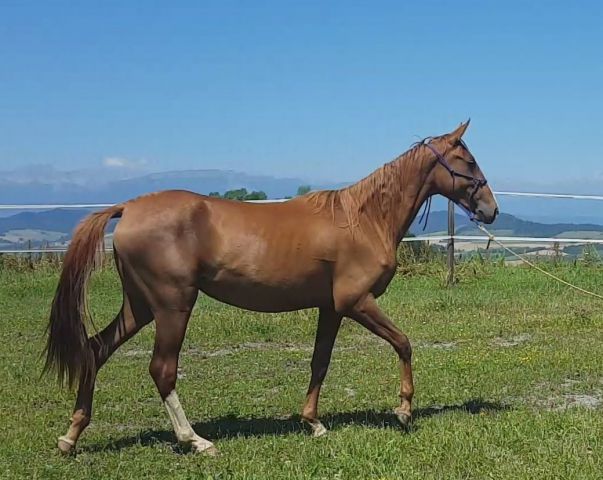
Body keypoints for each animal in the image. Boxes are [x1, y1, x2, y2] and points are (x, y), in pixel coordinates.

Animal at [43, 120, 500, 454]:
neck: (364, 219)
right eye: (468, 161)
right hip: (173, 307)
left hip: (140, 306)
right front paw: (404, 410)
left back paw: (70, 436)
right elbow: (404, 343)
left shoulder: (331, 308)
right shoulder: (356, 302)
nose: (491, 210)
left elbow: (320, 362)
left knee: (96, 349)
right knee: (162, 370)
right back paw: (195, 440)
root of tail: (128, 207)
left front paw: (313, 422)